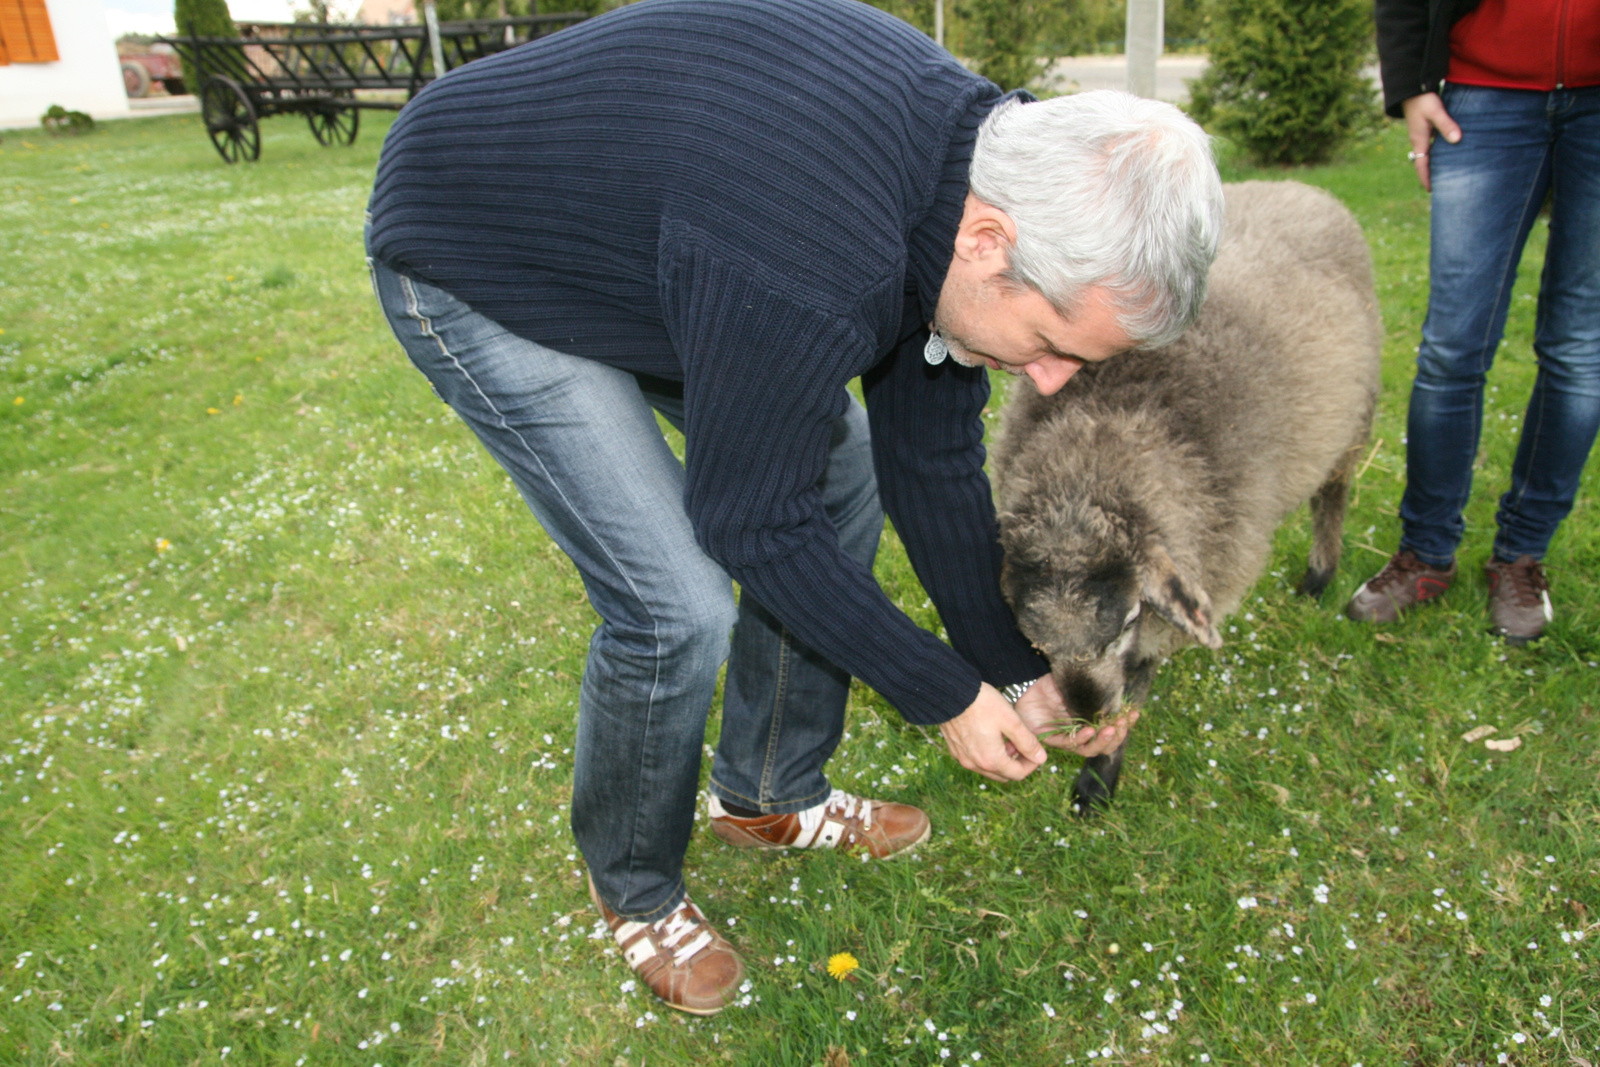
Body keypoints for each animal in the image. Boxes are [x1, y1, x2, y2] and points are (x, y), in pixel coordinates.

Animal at [992, 179, 1382, 812]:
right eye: (1035, 641)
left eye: (1127, 620)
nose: (1088, 713)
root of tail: (1301, 188)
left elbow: (1142, 676)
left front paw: (1099, 776)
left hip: (1353, 419)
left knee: (1334, 493)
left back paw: (1319, 576)